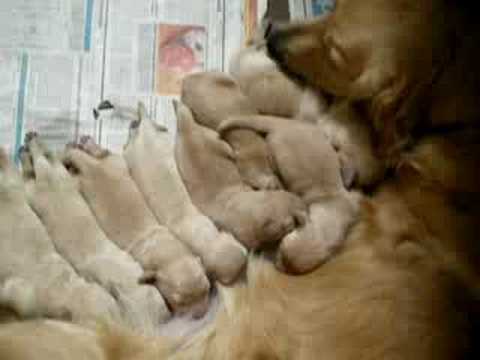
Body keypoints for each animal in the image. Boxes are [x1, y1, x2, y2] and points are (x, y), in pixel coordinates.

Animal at [62, 136, 210, 318]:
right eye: (179, 301)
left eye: (207, 289)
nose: (200, 315)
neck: (168, 252)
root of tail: (91, 167)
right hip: (83, 182)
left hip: (115, 164)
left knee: (100, 156)